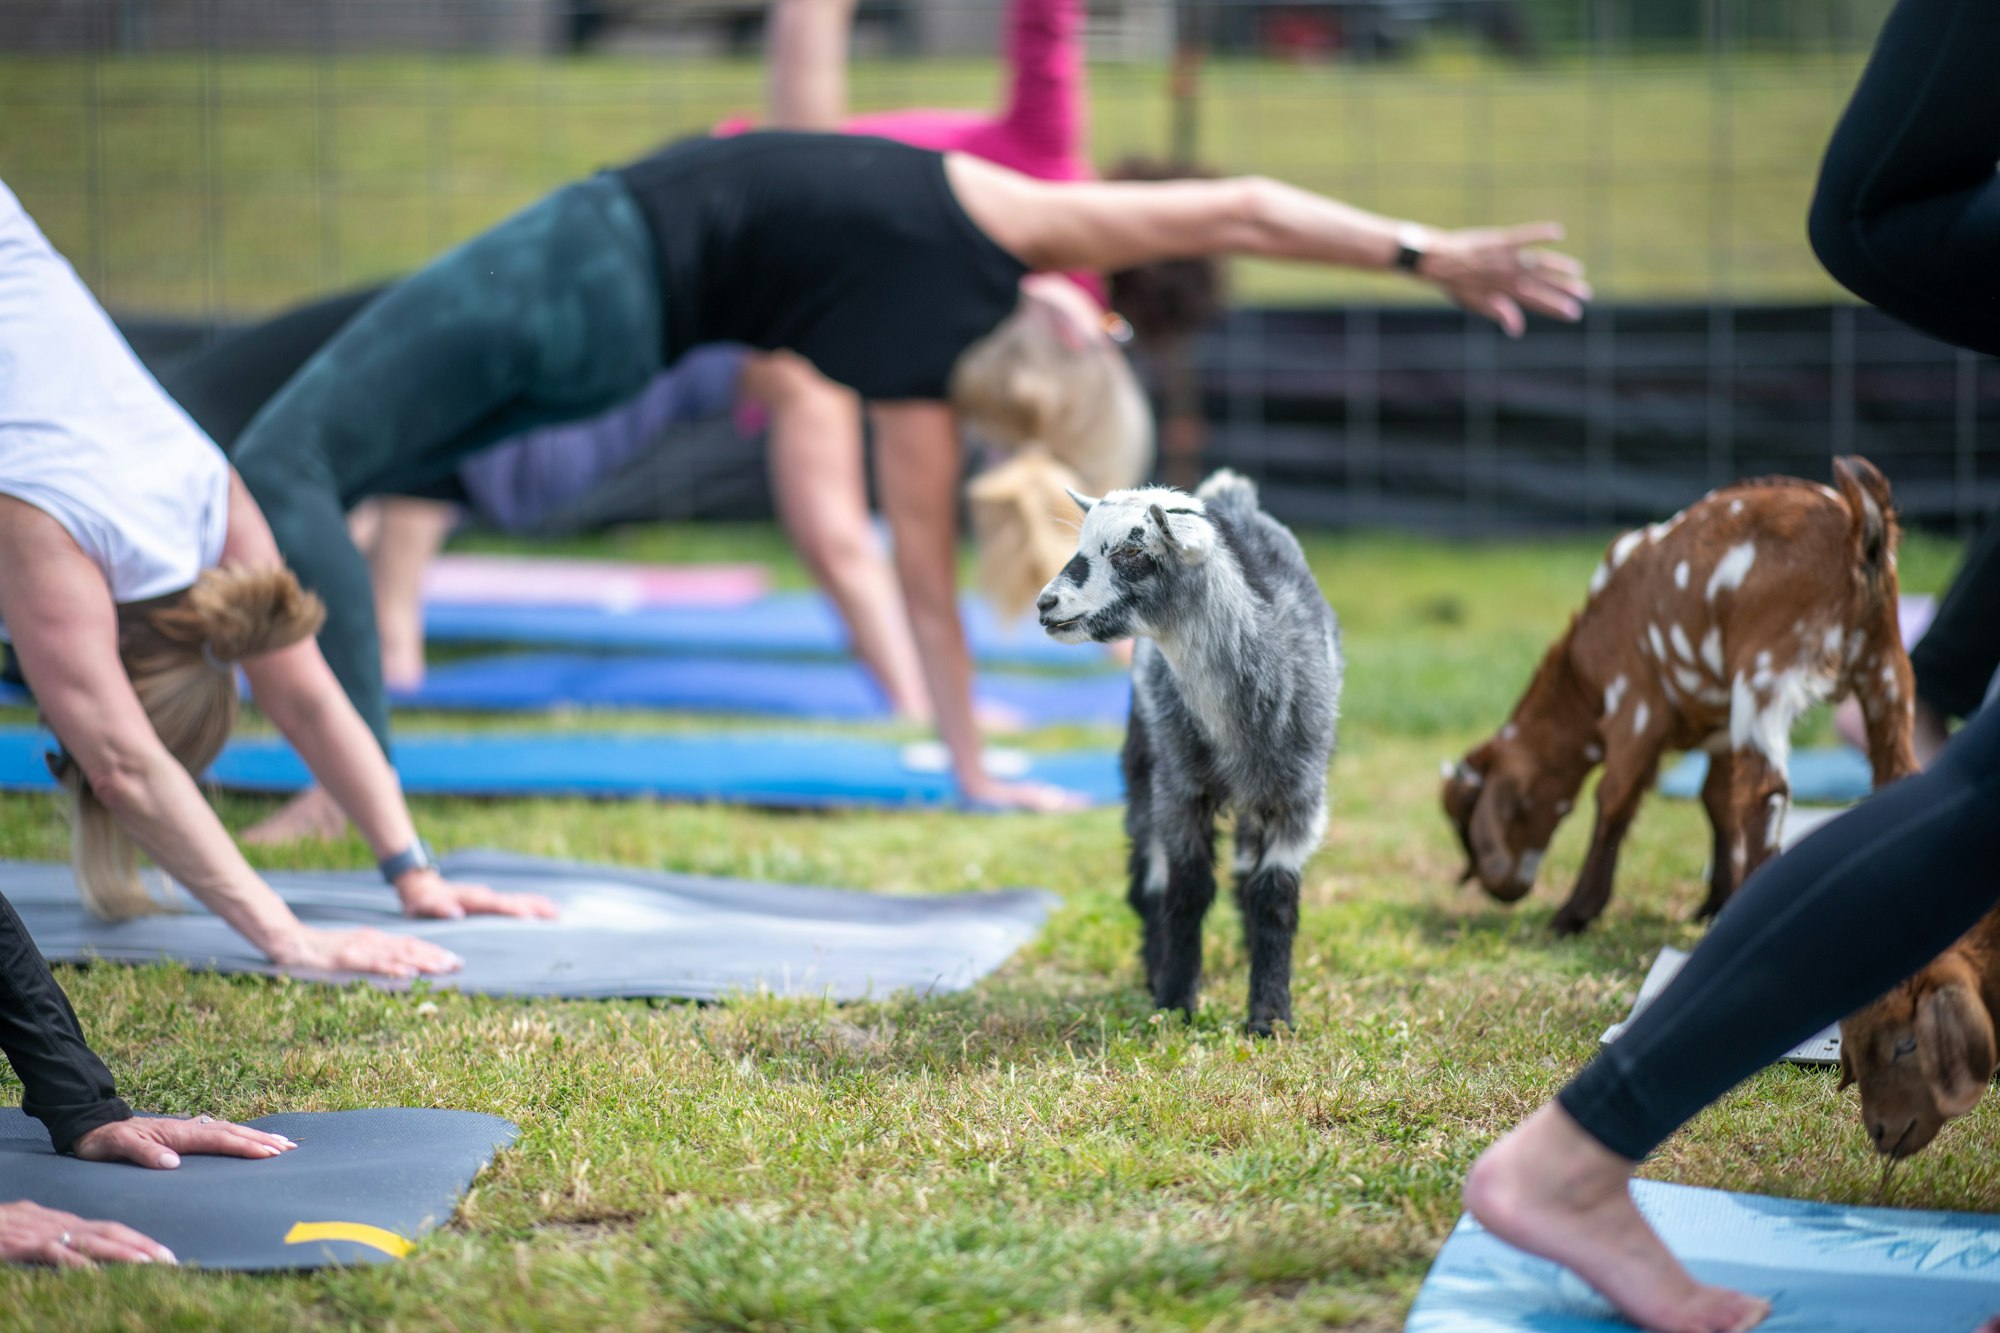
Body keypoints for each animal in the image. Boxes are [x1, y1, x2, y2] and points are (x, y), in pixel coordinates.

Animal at [1448, 456, 1912, 932]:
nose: (1496, 890)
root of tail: (1857, 526)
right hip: (1887, 669)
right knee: (1895, 773)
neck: (1585, 670)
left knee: (1766, 792)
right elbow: (1717, 800)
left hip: (1766, 675)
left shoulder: (1635, 706)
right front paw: (1716, 901)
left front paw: (1575, 912)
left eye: (1465, 823)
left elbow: (1614, 797)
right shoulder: (1721, 726)